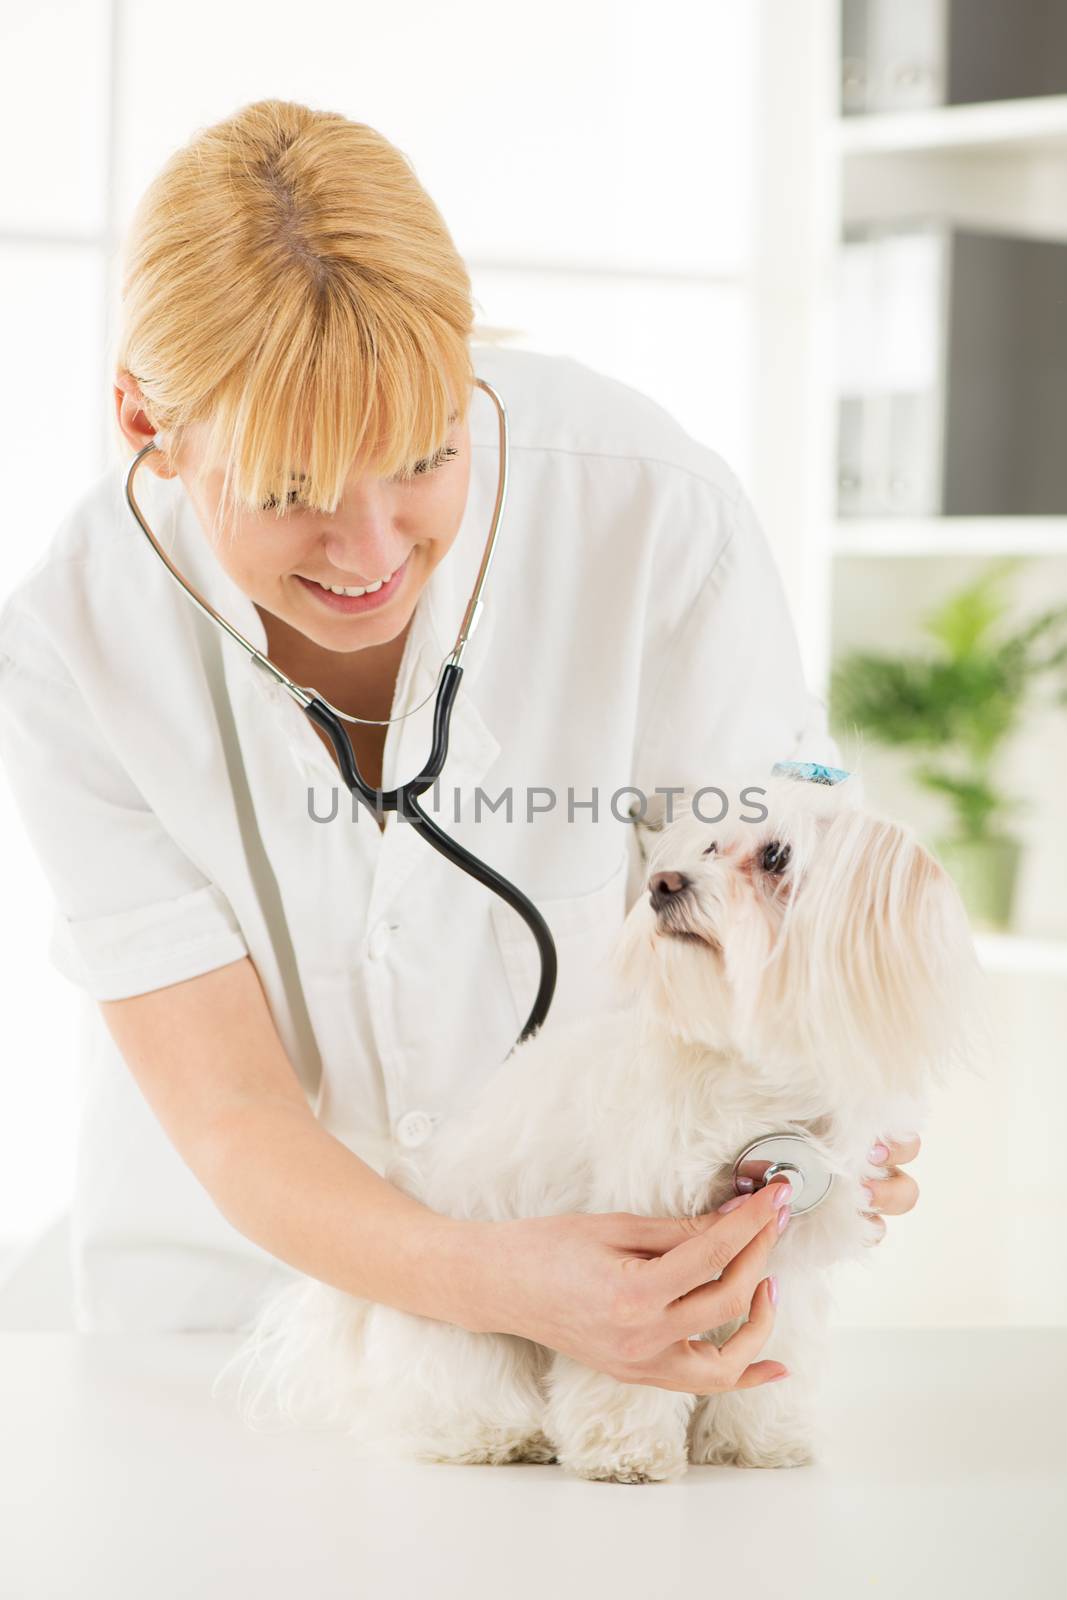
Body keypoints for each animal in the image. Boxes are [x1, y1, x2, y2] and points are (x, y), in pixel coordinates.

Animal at [217, 768, 985, 1478]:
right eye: (709, 845)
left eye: (775, 857)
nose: (664, 883)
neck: (755, 1076)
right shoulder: (639, 1265)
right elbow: (626, 1377)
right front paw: (628, 1453)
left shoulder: (784, 1266)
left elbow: (770, 1359)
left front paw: (754, 1444)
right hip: (468, 1325)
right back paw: (498, 1437)